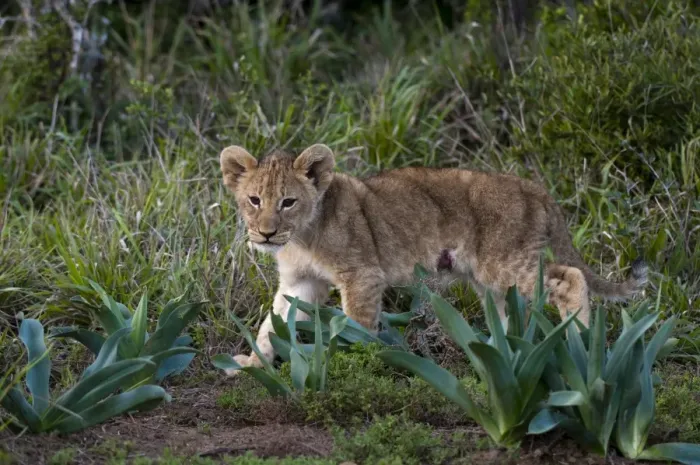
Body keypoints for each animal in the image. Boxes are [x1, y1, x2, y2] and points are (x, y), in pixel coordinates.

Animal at [219, 143, 647, 372]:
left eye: (288, 202)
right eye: (254, 200)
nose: (266, 233)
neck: (302, 236)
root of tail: (534, 188)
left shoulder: (362, 275)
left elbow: (357, 325)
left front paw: (350, 364)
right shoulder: (300, 282)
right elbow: (271, 324)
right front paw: (253, 365)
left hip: (506, 262)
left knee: (571, 277)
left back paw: (581, 342)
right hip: (489, 279)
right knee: (511, 309)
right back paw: (503, 352)